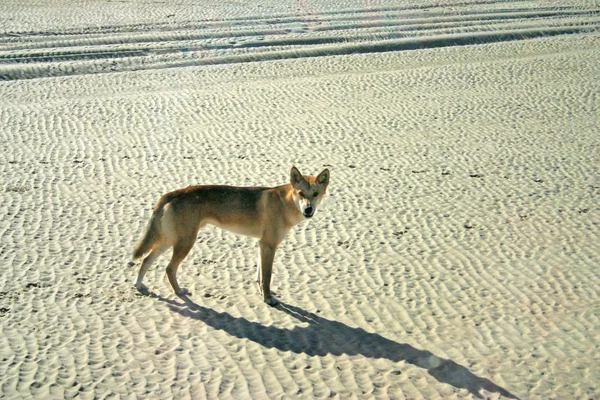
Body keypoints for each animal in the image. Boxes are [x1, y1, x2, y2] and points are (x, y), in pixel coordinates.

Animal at [131, 166, 330, 306]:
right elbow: (267, 277)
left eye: (315, 194)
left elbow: (260, 276)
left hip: (170, 240)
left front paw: (261, 293)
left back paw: (139, 285)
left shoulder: (262, 245)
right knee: (169, 268)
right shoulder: (269, 245)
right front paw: (268, 299)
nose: (308, 209)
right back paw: (179, 292)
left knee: (146, 260)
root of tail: (170, 194)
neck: (285, 203)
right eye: (301, 193)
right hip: (185, 242)